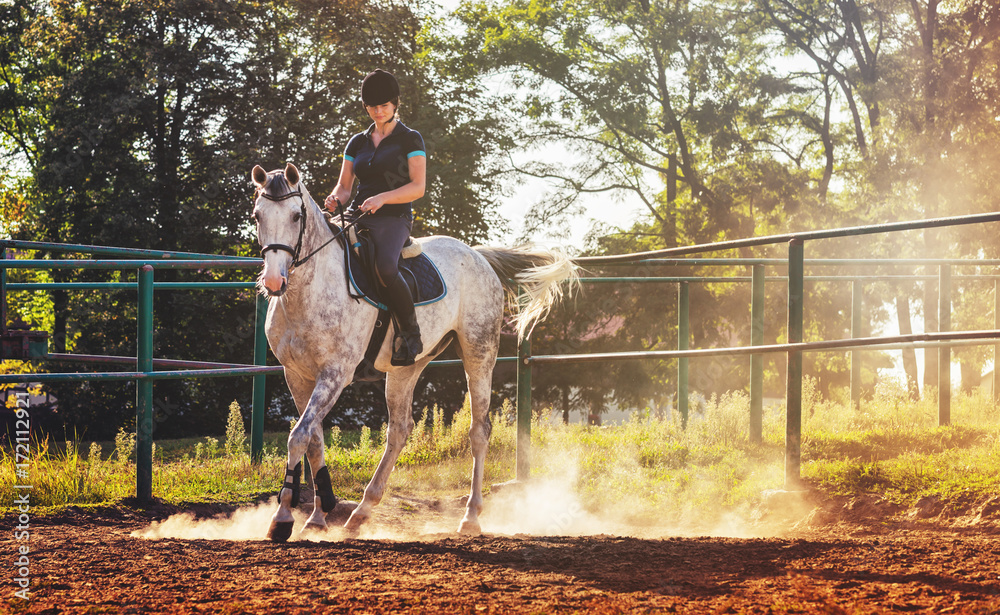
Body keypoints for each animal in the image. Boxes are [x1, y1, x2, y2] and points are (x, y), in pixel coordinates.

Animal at [250, 165, 580, 544]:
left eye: (295, 215)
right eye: (257, 215)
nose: (274, 282)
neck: (312, 289)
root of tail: (478, 256)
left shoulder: (335, 373)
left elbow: (299, 436)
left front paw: (283, 517)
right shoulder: (297, 375)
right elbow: (314, 439)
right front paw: (318, 516)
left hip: (479, 353)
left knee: (479, 430)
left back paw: (470, 516)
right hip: (406, 368)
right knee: (399, 430)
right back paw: (361, 513)